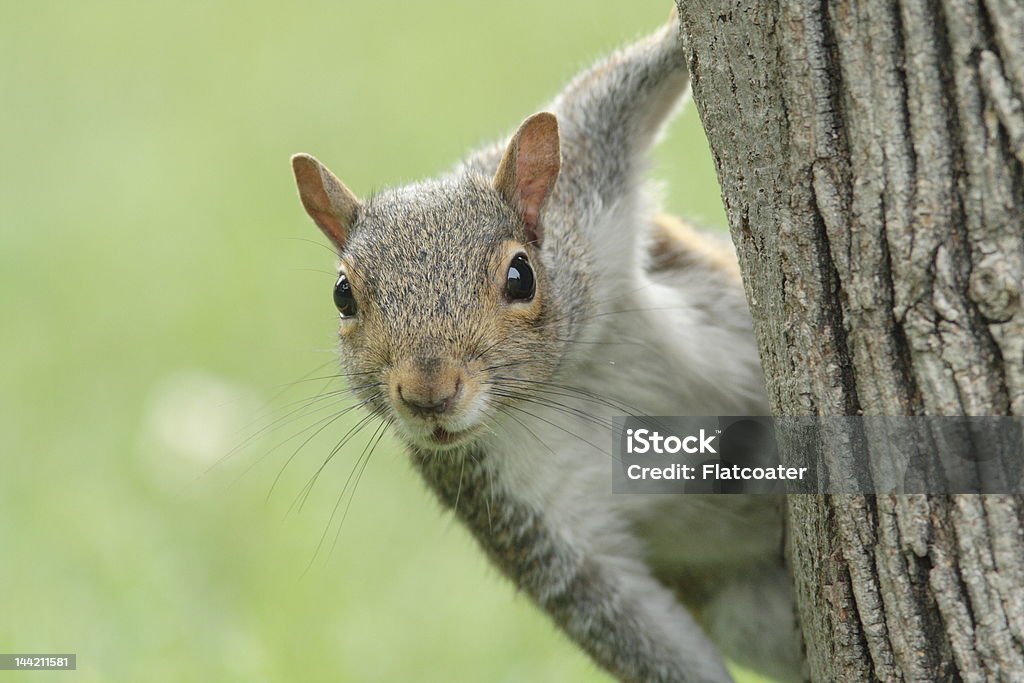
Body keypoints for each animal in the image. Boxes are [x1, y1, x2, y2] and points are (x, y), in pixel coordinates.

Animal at [286, 10, 798, 683]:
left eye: (521, 276)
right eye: (343, 295)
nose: (428, 394)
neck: (563, 380)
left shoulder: (589, 181)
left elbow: (624, 81)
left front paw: (676, 26)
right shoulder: (527, 511)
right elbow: (620, 617)